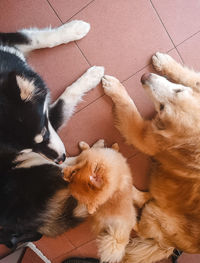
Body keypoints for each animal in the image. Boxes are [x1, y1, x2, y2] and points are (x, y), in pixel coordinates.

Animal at [0, 20, 104, 250]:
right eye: (24, 149)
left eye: (44, 132)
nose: (60, 157)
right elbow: (66, 99)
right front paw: (91, 77)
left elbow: (40, 39)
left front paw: (75, 29)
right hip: (33, 171)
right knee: (72, 170)